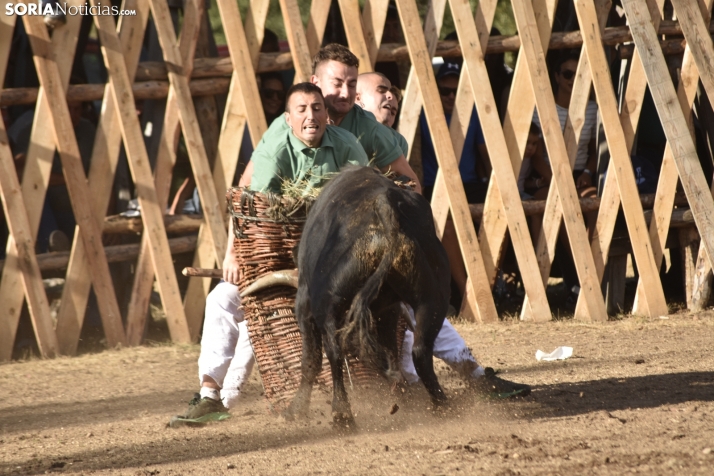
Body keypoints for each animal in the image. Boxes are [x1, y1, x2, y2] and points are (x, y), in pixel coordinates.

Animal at [242, 167, 448, 424]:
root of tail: (384, 204)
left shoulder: (305, 306)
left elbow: (311, 360)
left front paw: (296, 409)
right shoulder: (387, 310)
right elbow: (390, 348)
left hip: (328, 304)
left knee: (334, 351)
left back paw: (342, 412)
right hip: (432, 300)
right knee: (420, 351)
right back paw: (440, 404)